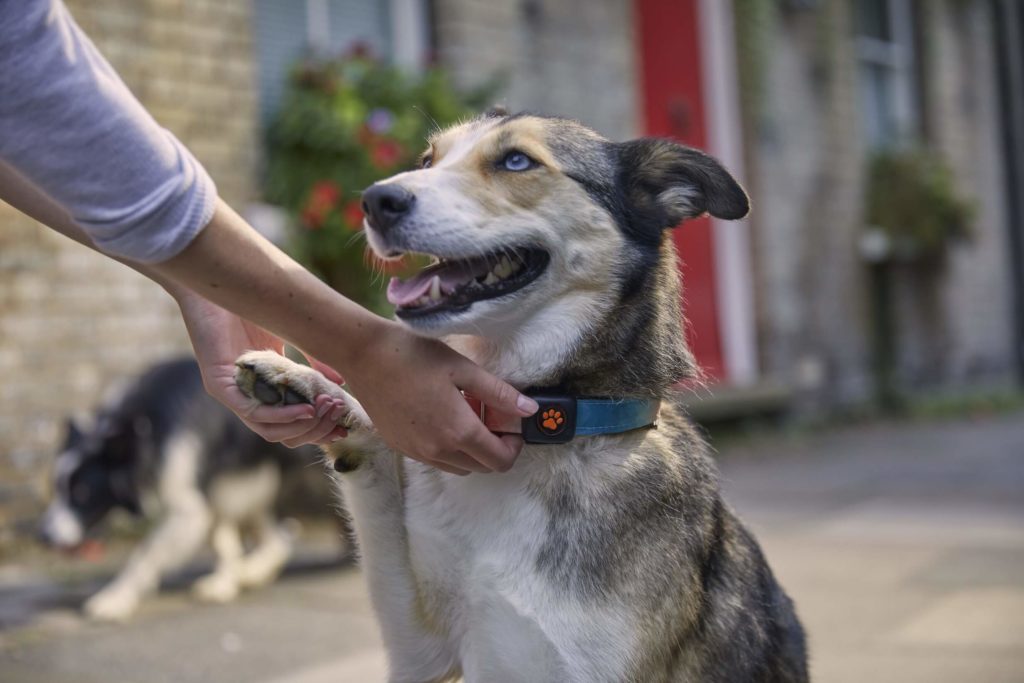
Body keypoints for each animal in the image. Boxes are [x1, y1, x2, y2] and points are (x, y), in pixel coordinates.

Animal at [39, 360, 313, 622]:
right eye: (57, 489)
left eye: (82, 493)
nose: (44, 537)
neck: (143, 429)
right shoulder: (203, 494)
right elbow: (220, 539)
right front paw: (225, 582)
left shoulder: (187, 504)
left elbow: (146, 552)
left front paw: (116, 598)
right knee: (272, 540)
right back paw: (242, 574)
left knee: (278, 540)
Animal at [234, 112, 806, 683]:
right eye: (428, 161)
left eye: (515, 161)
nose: (376, 200)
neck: (546, 431)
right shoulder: (422, 651)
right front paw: (304, 384)